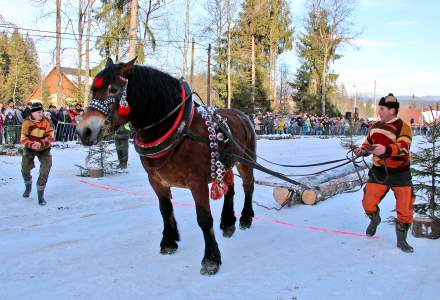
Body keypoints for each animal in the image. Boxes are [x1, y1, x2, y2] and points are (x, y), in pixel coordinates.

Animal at [77, 57, 256, 276]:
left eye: (113, 89)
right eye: (93, 90)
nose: (83, 131)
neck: (177, 128)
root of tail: (243, 115)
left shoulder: (197, 183)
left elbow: (204, 219)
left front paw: (211, 259)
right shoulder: (156, 180)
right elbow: (165, 209)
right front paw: (169, 241)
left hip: (246, 160)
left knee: (248, 186)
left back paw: (245, 218)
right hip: (226, 163)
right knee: (230, 187)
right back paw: (228, 222)